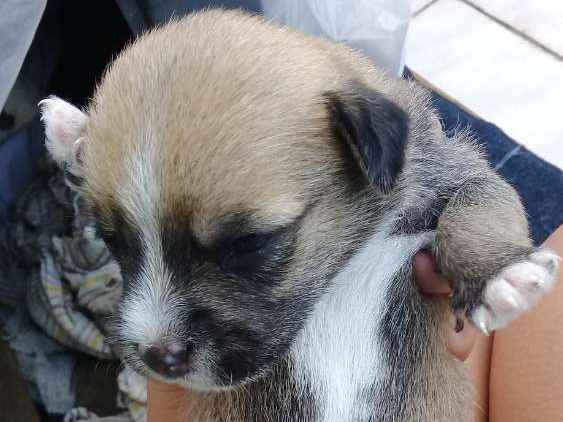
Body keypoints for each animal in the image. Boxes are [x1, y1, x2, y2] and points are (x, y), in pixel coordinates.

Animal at [39, 10, 559, 421]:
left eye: (250, 243)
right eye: (112, 241)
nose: (158, 356)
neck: (340, 274)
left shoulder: (455, 173)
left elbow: (478, 207)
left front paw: (499, 275)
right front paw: (75, 130)